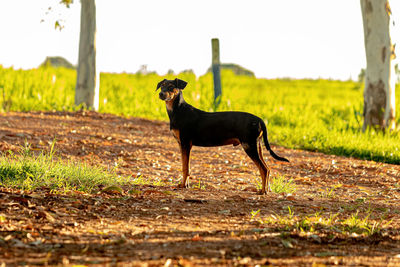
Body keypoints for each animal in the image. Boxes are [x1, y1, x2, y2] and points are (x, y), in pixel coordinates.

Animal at [155, 77, 288, 195]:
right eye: (162, 86)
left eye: (171, 86)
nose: (161, 94)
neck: (178, 110)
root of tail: (260, 120)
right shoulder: (182, 144)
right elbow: (185, 166)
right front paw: (185, 185)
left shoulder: (185, 143)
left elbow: (185, 168)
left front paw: (183, 185)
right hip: (257, 145)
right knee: (267, 169)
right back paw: (265, 190)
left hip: (249, 145)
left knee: (264, 169)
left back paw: (263, 191)